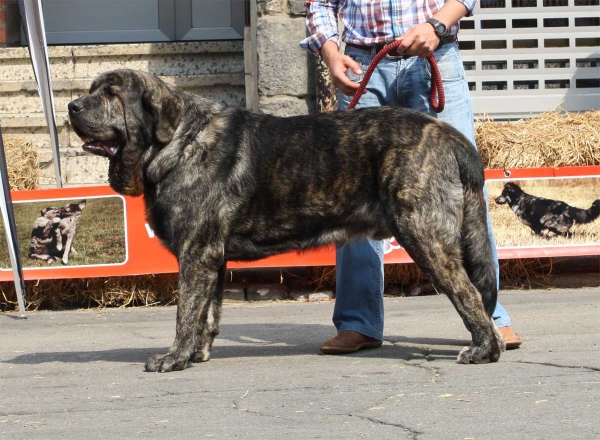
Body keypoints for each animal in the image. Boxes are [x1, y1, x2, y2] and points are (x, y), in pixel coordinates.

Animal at [68, 68, 504, 372]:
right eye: (92, 89)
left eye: (111, 95)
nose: (73, 106)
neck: (178, 141)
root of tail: (451, 136)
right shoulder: (211, 258)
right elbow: (207, 313)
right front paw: (196, 354)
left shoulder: (195, 254)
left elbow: (185, 313)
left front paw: (173, 358)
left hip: (424, 236)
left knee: (468, 294)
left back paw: (485, 349)